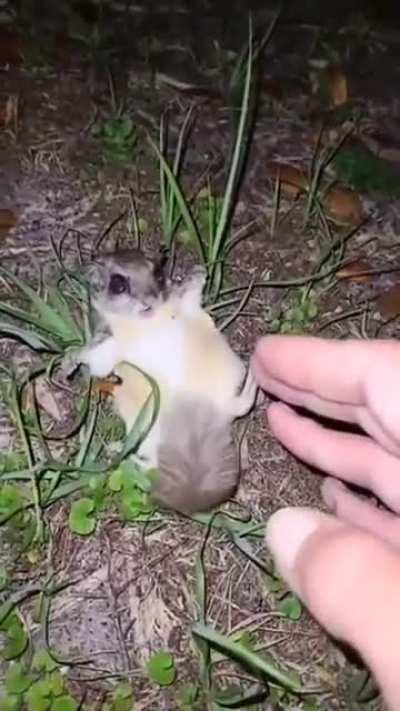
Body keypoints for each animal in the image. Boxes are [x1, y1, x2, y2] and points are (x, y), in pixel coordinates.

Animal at [68, 248, 258, 514]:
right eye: (118, 284)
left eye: (158, 274)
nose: (149, 300)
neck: (146, 323)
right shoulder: (108, 345)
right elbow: (94, 358)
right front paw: (70, 360)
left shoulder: (184, 306)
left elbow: (190, 292)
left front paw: (195, 272)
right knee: (151, 463)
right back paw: (125, 456)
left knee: (241, 404)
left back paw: (255, 377)